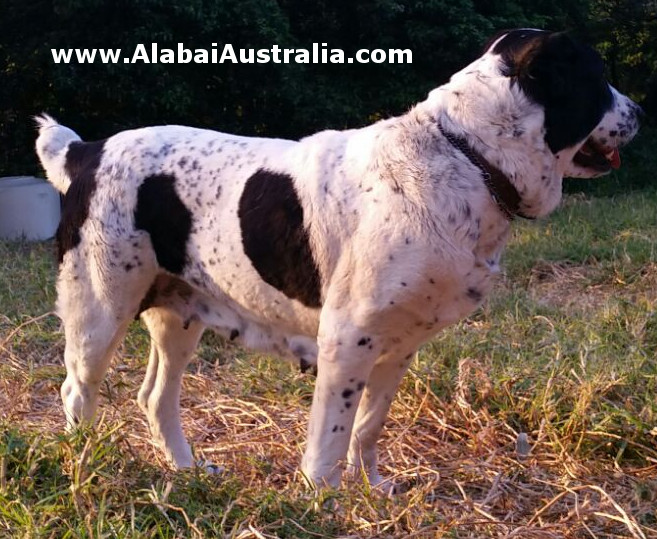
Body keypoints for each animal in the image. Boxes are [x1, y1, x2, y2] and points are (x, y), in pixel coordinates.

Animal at [34, 30, 636, 494]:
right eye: (598, 78)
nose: (640, 112)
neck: (467, 155)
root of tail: (87, 152)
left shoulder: (399, 346)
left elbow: (367, 428)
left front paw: (371, 487)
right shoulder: (346, 341)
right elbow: (330, 438)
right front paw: (323, 501)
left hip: (178, 316)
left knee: (156, 399)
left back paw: (189, 472)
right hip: (100, 314)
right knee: (77, 392)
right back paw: (85, 466)